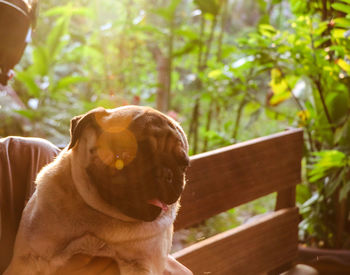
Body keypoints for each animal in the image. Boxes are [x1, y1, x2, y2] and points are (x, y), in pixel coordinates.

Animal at [3, 106, 189, 275]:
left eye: (184, 165)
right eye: (130, 156)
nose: (166, 173)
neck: (101, 218)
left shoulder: (143, 267)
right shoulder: (28, 260)